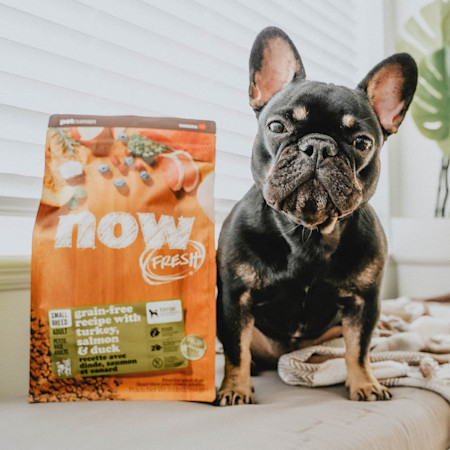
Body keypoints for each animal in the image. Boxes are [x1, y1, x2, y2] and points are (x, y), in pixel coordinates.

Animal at [216, 28, 416, 408]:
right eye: (277, 125)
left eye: (363, 142)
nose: (320, 146)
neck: (307, 232)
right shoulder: (236, 298)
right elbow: (235, 349)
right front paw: (234, 388)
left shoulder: (364, 304)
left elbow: (359, 349)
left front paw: (364, 382)